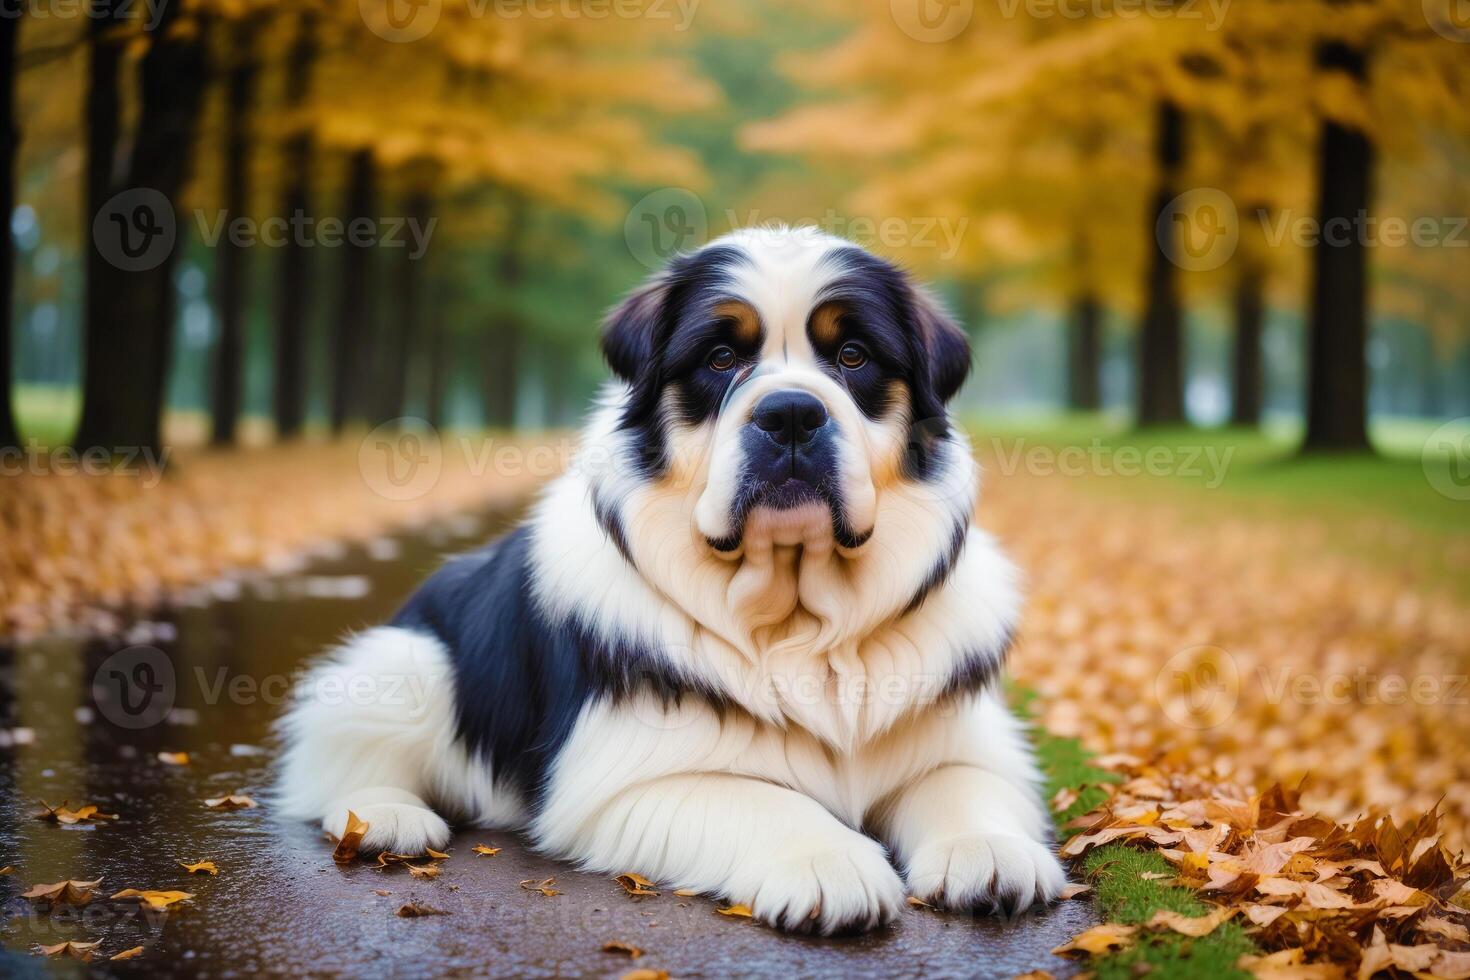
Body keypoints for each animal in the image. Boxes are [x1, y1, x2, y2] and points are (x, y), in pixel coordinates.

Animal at [276, 226, 1064, 934]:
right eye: (721, 357)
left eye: (852, 355)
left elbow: (966, 780)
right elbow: (765, 800)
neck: (796, 613)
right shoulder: (629, 779)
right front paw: (827, 862)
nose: (790, 413)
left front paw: (988, 849)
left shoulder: (965, 733)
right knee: (337, 757)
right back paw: (386, 816)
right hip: (406, 662)